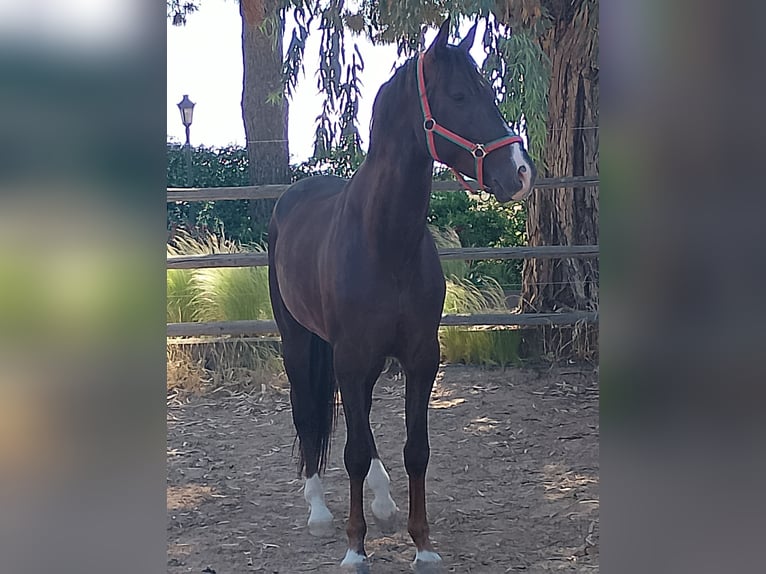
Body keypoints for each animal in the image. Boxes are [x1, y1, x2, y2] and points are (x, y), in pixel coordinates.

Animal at [267, 17, 537, 573]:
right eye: (458, 95)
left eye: (490, 92)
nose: (521, 172)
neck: (384, 241)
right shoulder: (350, 357)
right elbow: (349, 451)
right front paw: (355, 549)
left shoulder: (419, 357)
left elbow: (415, 449)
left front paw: (423, 545)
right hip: (299, 341)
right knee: (308, 412)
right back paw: (319, 511)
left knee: (362, 422)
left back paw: (384, 499)